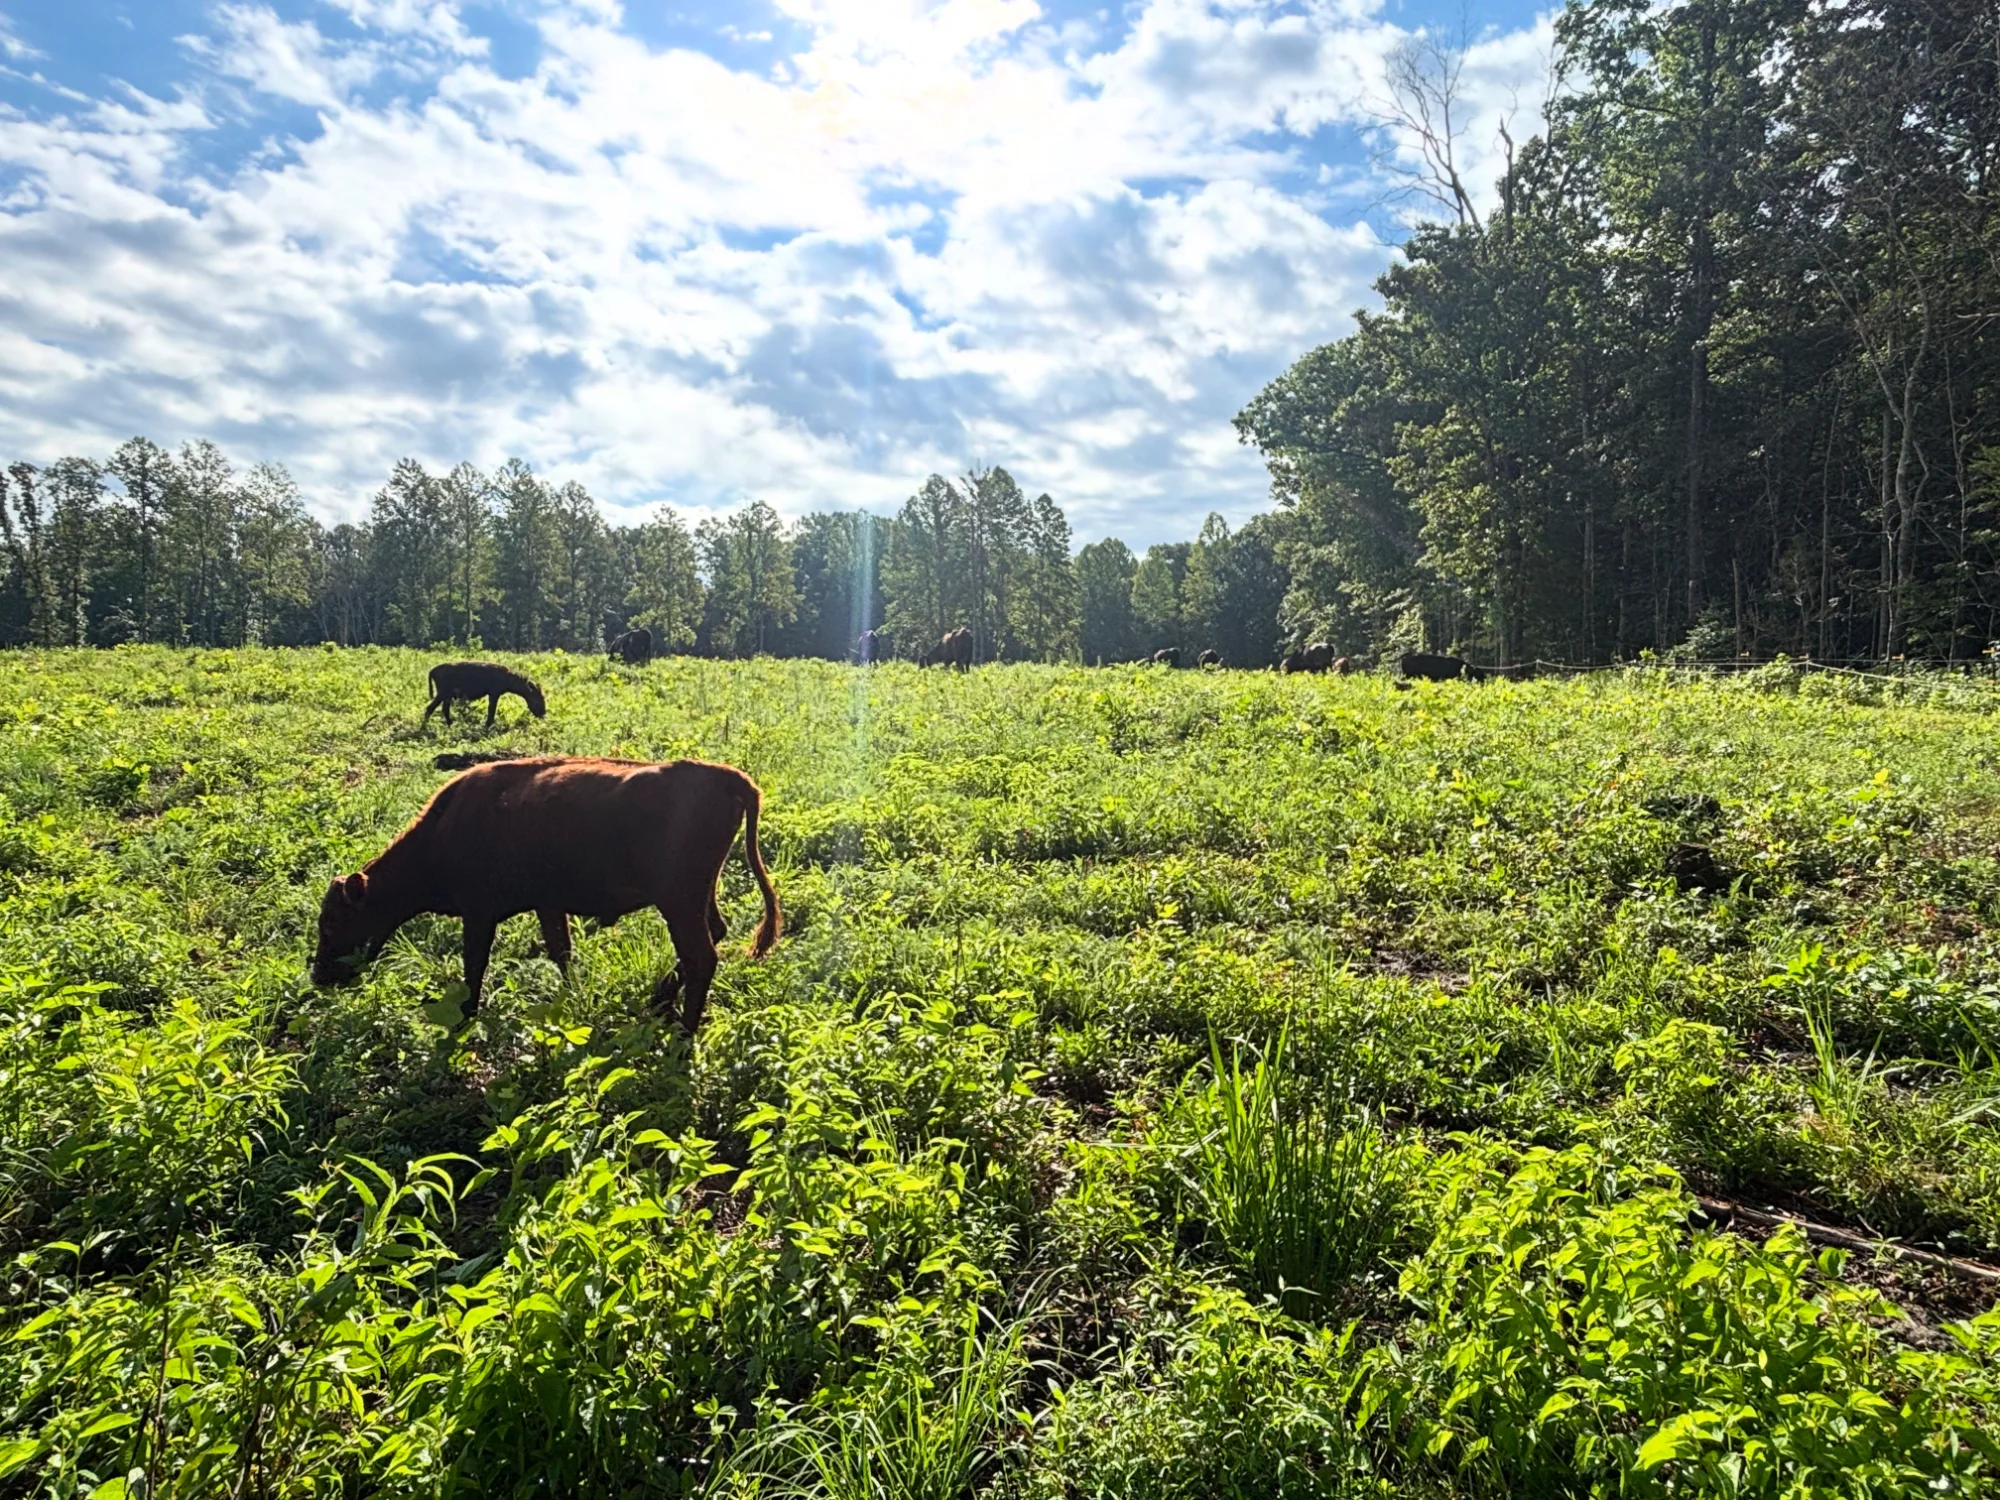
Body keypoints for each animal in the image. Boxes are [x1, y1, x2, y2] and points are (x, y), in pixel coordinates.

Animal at [310, 756, 781, 1033]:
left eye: (332, 922)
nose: (318, 977)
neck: (445, 828)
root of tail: (724, 777)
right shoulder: (548, 905)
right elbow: (562, 952)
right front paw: (575, 1000)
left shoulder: (479, 915)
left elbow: (474, 966)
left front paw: (465, 1017)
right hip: (698, 898)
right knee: (715, 933)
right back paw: (659, 1003)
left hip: (679, 903)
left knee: (701, 957)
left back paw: (681, 1037)